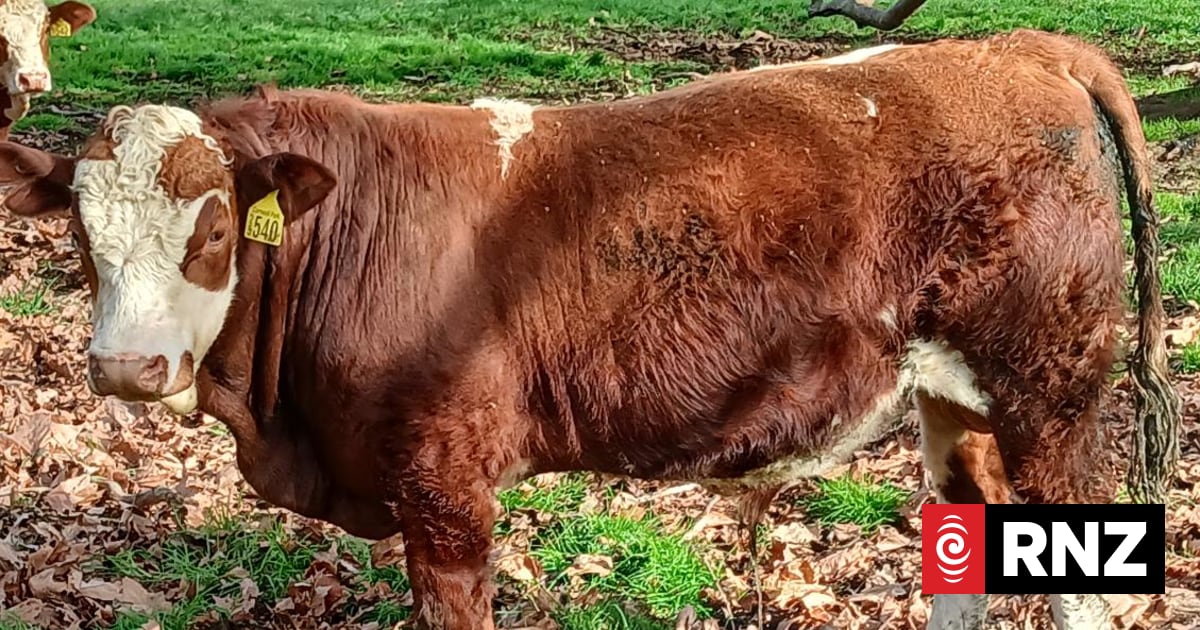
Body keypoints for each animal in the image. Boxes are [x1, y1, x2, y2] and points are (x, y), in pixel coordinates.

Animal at [0, 28, 1181, 630]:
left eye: (211, 228)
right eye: (82, 234)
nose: (126, 367)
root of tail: (1012, 44)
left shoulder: (445, 487)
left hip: (1051, 389)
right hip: (954, 397)